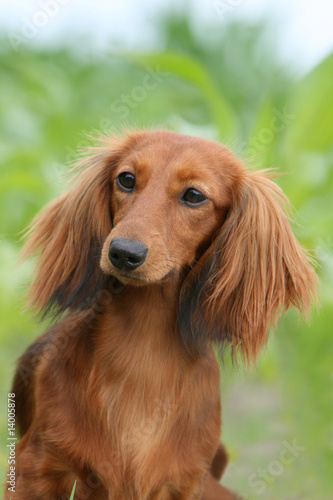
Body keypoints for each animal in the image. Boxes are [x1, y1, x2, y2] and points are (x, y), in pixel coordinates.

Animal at [4, 131, 316, 498]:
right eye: (126, 179)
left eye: (194, 195)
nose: (123, 253)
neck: (142, 349)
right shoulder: (33, 467)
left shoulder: (183, 482)